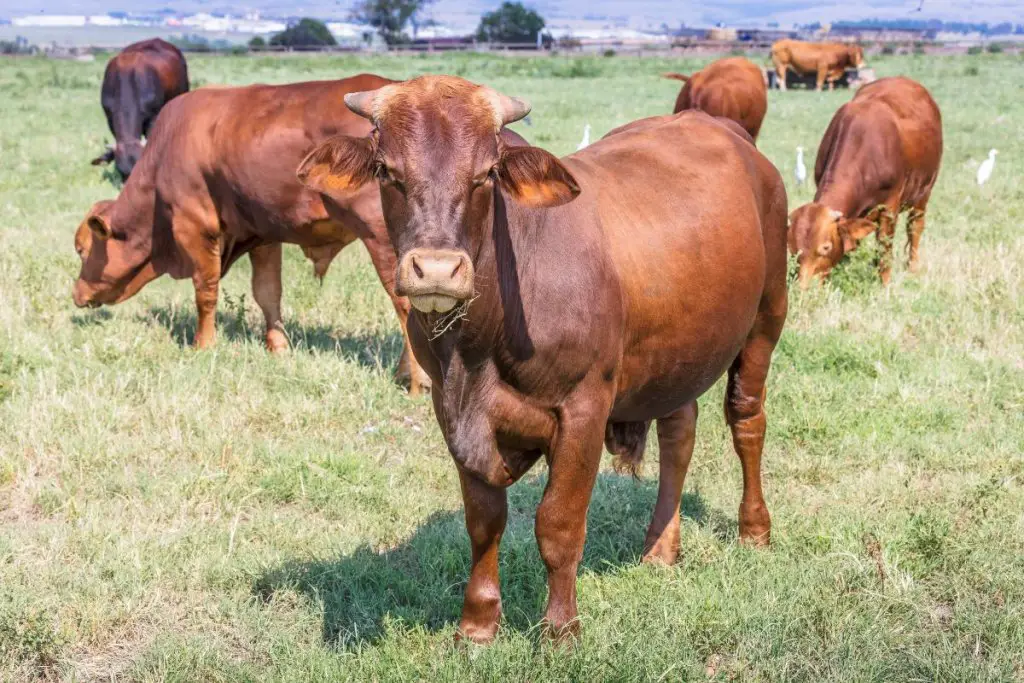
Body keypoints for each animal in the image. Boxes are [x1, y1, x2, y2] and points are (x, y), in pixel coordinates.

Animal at [72, 74, 432, 395]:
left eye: (81, 249)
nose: (76, 294)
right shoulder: (263, 233)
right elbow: (268, 294)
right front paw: (278, 347)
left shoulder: (194, 227)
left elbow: (205, 292)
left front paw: (203, 345)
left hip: (384, 243)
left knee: (408, 306)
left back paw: (417, 382)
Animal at [299, 77, 790, 643]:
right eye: (386, 170)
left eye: (486, 174)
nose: (437, 270)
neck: (477, 350)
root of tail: (725, 130)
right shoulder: (453, 412)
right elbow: (484, 521)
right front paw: (477, 624)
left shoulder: (584, 409)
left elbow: (558, 523)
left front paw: (560, 630)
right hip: (675, 357)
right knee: (679, 435)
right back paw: (661, 548)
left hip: (767, 318)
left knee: (746, 420)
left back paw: (754, 529)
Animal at [782, 76, 942, 286]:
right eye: (792, 249)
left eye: (825, 247)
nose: (803, 288)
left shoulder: (889, 208)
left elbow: (884, 249)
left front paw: (885, 285)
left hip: (924, 193)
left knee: (914, 227)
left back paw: (913, 267)